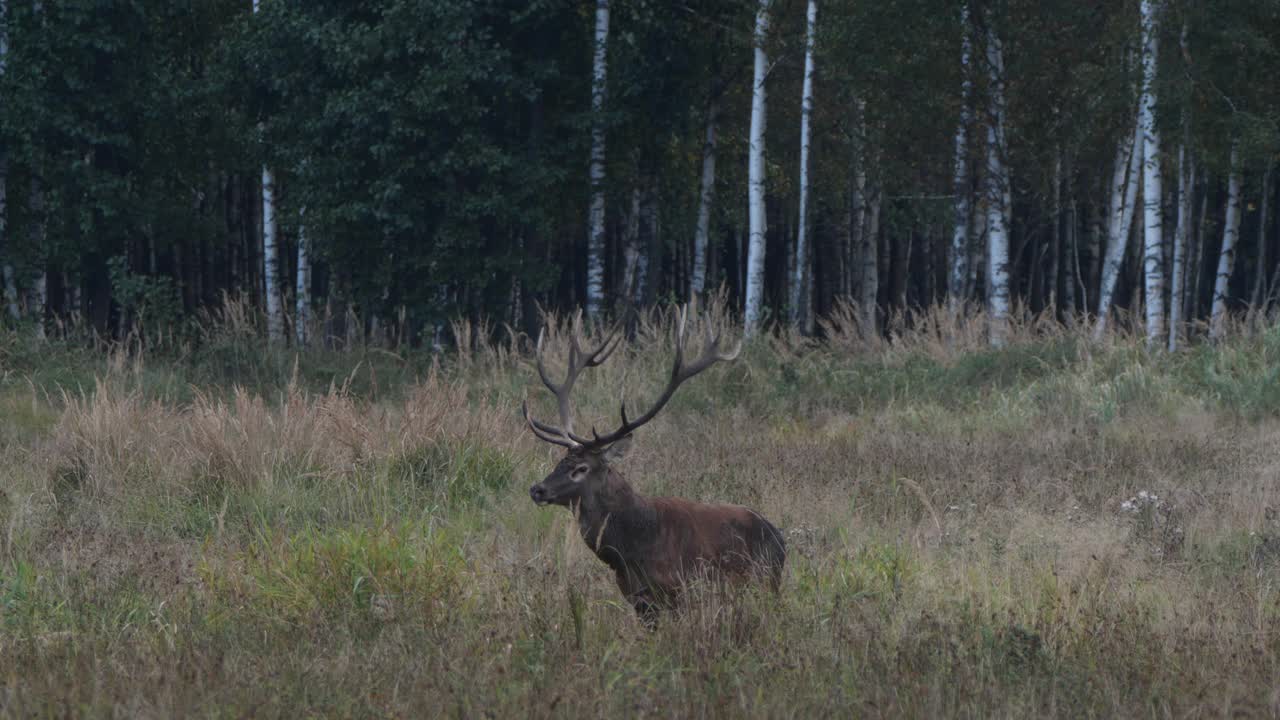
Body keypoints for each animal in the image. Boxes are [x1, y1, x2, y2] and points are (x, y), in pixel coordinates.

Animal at [522, 307, 783, 622]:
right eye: (560, 461)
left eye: (581, 468)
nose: (537, 489)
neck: (629, 549)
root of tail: (782, 541)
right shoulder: (638, 600)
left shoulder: (678, 591)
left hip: (764, 582)